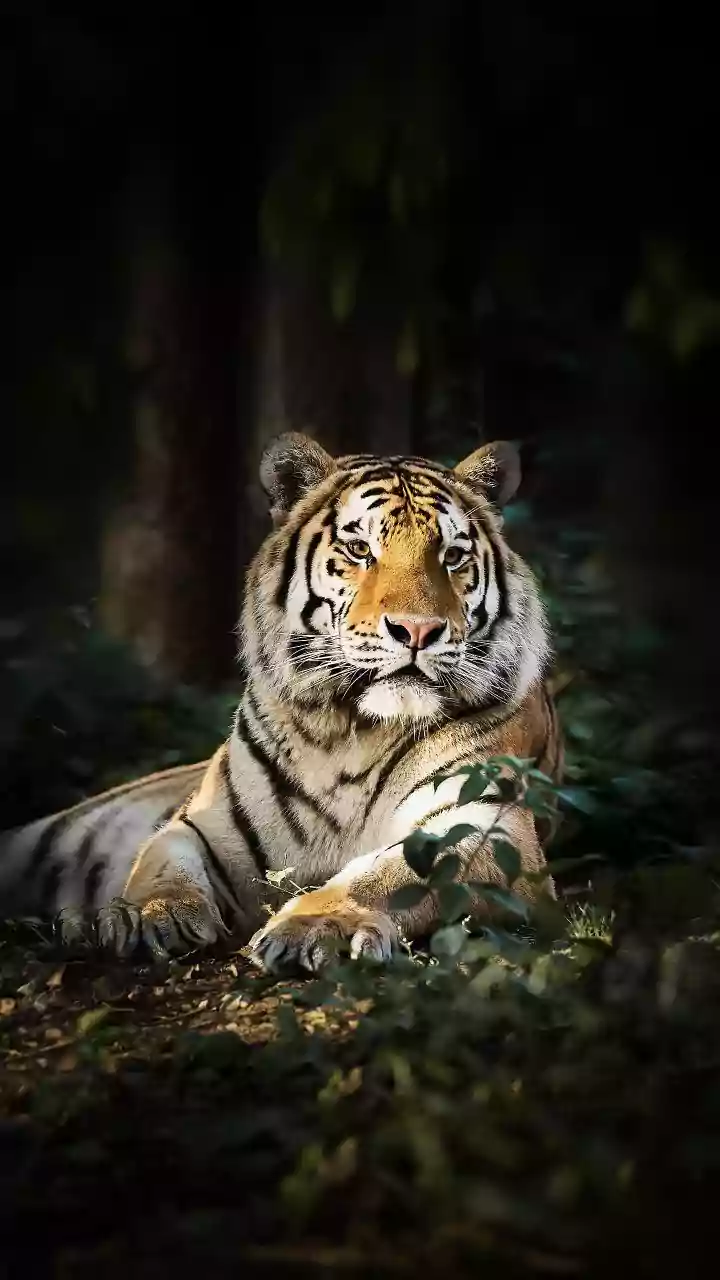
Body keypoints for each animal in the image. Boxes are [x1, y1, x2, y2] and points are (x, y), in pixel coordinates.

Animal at [0, 432, 562, 973]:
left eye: (452, 555)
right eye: (359, 548)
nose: (417, 631)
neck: (353, 731)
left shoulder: (486, 825)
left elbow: (389, 874)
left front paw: (316, 925)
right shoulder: (202, 823)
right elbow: (161, 863)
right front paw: (143, 916)